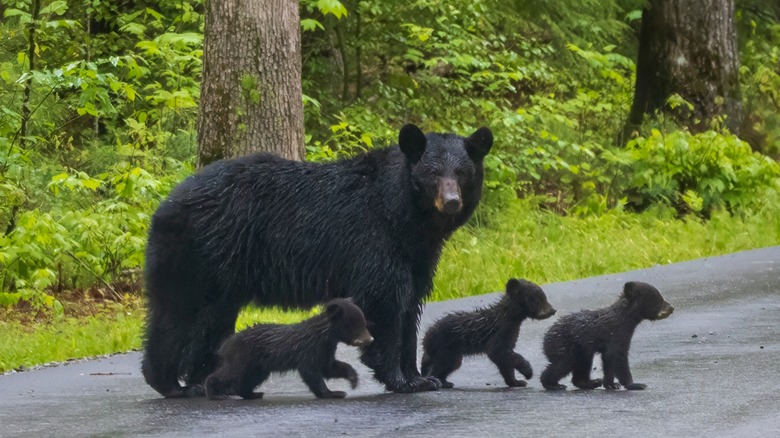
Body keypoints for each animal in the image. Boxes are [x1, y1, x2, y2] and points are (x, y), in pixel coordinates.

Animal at [206, 298, 374, 400]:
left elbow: (329, 367)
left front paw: (353, 380)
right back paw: (213, 392)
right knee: (230, 373)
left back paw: (253, 394)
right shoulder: (309, 348)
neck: (324, 335)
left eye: (364, 323)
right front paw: (332, 393)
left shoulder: (326, 350)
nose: (370, 339)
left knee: (247, 379)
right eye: (356, 326)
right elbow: (310, 371)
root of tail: (226, 344)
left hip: (259, 366)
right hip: (244, 357)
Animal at [420, 278, 556, 388]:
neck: (510, 318)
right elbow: (497, 351)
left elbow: (504, 360)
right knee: (442, 364)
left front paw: (516, 382)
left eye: (544, 296)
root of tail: (426, 338)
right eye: (537, 298)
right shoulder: (501, 332)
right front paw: (528, 372)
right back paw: (436, 381)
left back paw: (445, 381)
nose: (553, 310)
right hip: (444, 346)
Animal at [540, 282, 672, 392]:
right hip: (563, 345)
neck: (625, 317)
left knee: (582, 364)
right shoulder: (618, 333)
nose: (671, 307)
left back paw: (592, 382)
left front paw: (611, 384)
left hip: (581, 350)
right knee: (564, 363)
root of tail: (545, 339)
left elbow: (608, 359)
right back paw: (552, 384)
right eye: (658, 299)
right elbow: (617, 355)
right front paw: (635, 384)